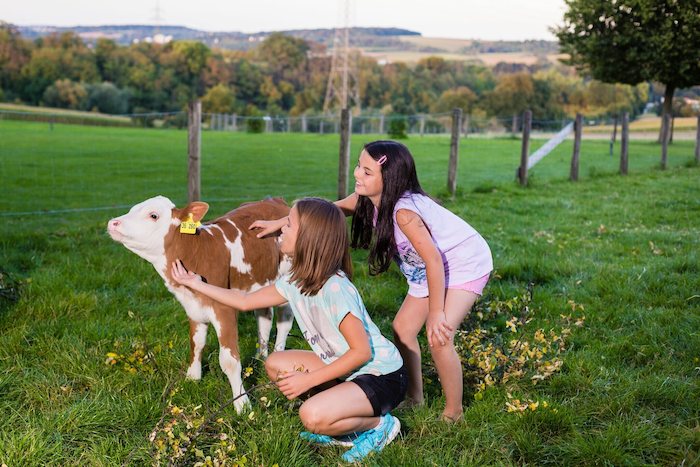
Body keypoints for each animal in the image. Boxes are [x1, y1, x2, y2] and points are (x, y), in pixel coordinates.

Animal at [108, 196, 294, 412]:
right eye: (132, 209)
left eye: (153, 215)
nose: (113, 223)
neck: (196, 251)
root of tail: (275, 200)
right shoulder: (193, 307)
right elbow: (196, 344)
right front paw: (192, 379)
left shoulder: (224, 308)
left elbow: (229, 361)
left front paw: (242, 404)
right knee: (264, 317)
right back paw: (260, 357)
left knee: (284, 321)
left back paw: (276, 358)